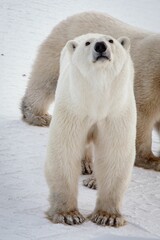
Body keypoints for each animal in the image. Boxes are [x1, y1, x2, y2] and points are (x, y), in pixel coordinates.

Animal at [44, 33, 136, 227]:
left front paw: (108, 216)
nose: (100, 46)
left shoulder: (116, 111)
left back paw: (93, 179)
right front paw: (68, 214)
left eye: (111, 40)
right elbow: (65, 149)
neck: (98, 98)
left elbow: (113, 153)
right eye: (87, 44)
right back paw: (84, 165)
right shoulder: (74, 108)